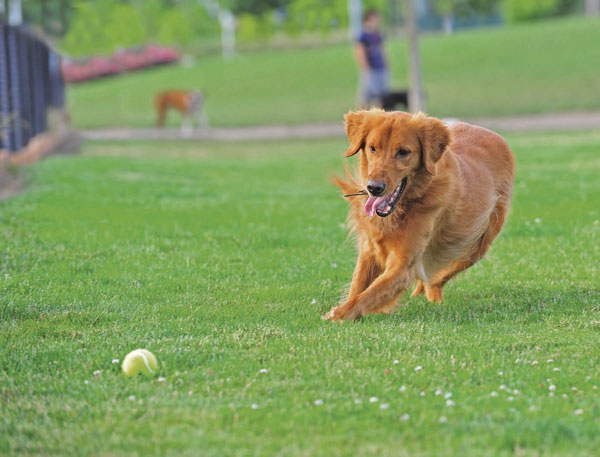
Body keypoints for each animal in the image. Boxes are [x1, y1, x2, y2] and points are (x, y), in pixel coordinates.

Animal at [324, 108, 516, 320]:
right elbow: (357, 288)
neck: (404, 207)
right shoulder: (369, 251)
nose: (374, 187)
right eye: (373, 148)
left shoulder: (402, 266)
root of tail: (490, 132)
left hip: (476, 245)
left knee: (439, 277)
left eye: (403, 152)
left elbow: (368, 294)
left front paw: (337, 314)